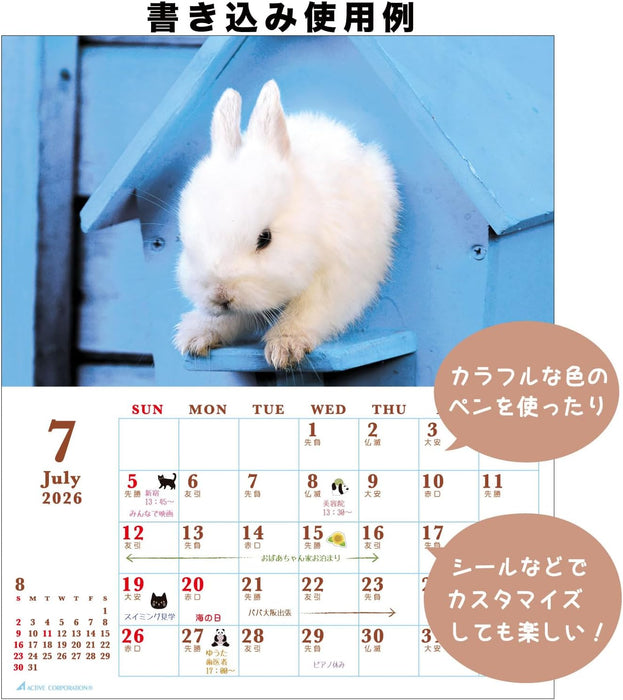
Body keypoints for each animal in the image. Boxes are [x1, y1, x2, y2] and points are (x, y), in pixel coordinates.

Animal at [174, 80, 399, 369]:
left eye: (265, 238)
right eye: (187, 244)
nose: (221, 295)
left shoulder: (336, 278)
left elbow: (307, 311)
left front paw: (285, 347)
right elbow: (232, 318)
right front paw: (195, 337)